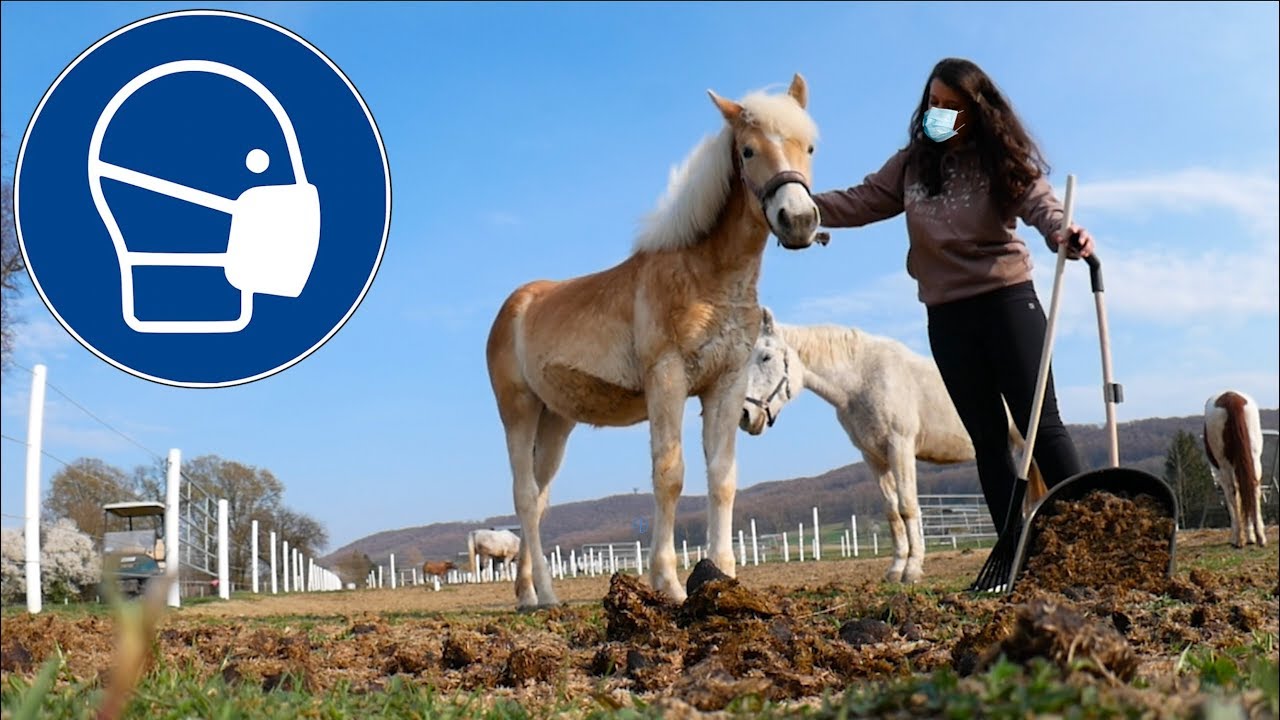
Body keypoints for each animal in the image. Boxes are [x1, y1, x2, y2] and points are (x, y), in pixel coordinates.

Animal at [486, 74, 823, 608]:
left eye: (809, 146)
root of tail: (514, 307)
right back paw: (543, 596)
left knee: (536, 502)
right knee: (523, 496)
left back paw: (530, 593)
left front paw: (722, 575)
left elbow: (722, 478)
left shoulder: (724, 386)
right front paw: (667, 582)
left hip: (555, 421)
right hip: (517, 411)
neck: (706, 276)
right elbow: (670, 475)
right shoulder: (667, 380)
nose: (799, 220)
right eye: (748, 150)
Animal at [739, 307, 1047, 584]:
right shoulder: (873, 457)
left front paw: (912, 570)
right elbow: (892, 512)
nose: (745, 415)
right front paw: (896, 569)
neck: (861, 379)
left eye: (766, 357)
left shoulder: (900, 448)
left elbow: (908, 506)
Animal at [1203, 390, 1266, 548]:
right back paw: (1260, 537)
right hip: (1254, 458)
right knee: (1252, 488)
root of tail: (1231, 399)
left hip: (1225, 465)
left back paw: (1237, 539)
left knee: (1233, 492)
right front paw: (1251, 537)